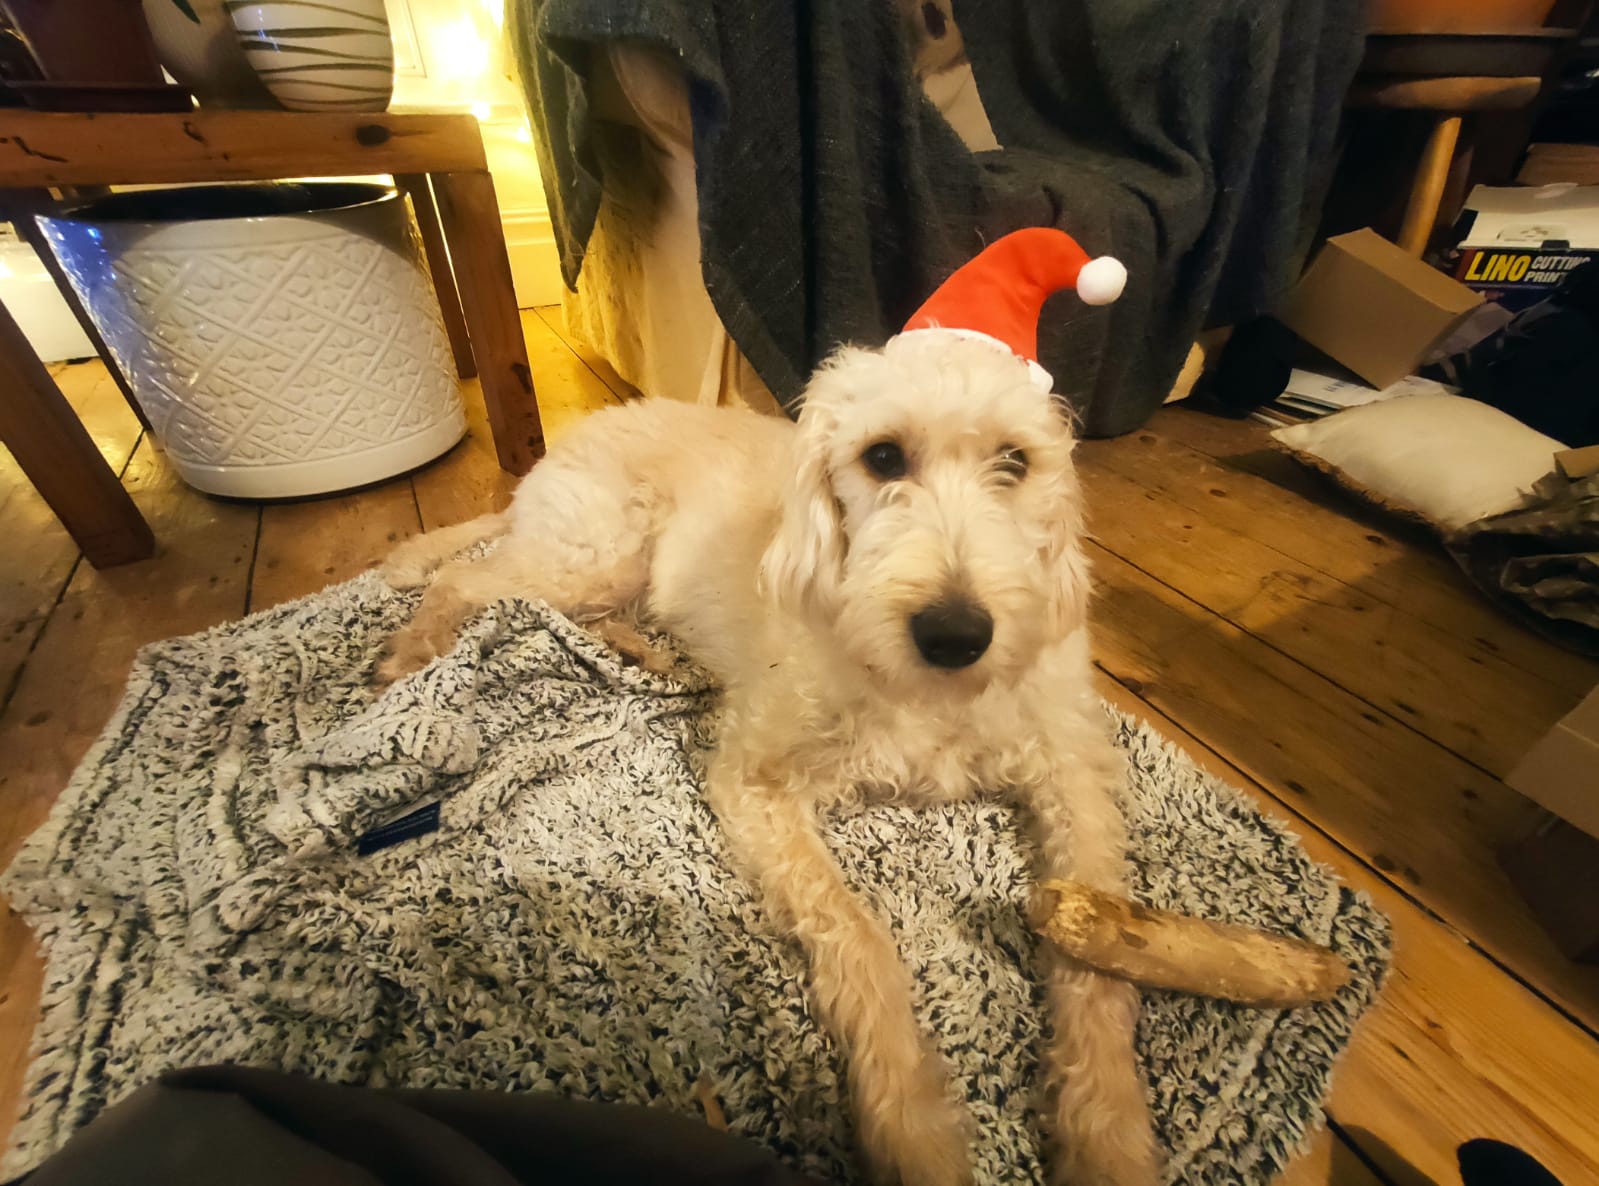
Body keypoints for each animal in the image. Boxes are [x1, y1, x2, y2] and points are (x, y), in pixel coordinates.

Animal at [374, 329, 1158, 1186]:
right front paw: (911, 1123)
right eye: (883, 456)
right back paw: (413, 657)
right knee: (466, 579)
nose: (955, 635)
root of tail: (580, 433)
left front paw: (1107, 1139)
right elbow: (857, 937)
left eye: (1014, 461)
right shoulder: (754, 779)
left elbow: (1101, 971)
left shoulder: (1074, 782)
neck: (930, 697)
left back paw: (639, 650)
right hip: (590, 554)